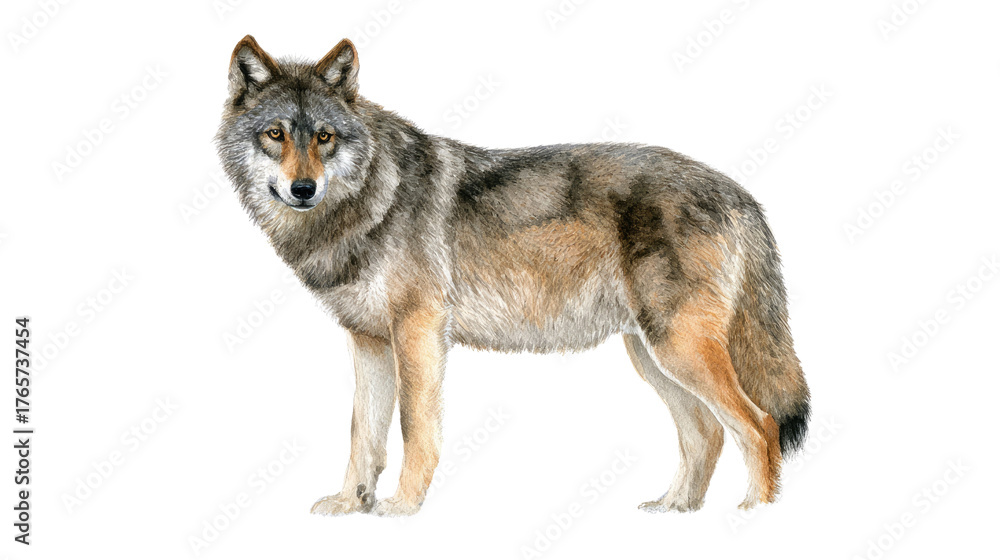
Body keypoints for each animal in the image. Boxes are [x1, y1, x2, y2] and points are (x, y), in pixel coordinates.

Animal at [217, 35, 810, 516]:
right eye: (276, 134)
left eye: (324, 137)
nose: (303, 189)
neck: (366, 203)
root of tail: (739, 192)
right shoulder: (369, 342)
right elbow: (363, 435)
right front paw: (350, 505)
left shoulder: (418, 333)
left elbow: (414, 429)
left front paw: (402, 508)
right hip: (653, 356)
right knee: (706, 433)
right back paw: (676, 509)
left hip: (678, 350)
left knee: (759, 425)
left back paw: (753, 515)